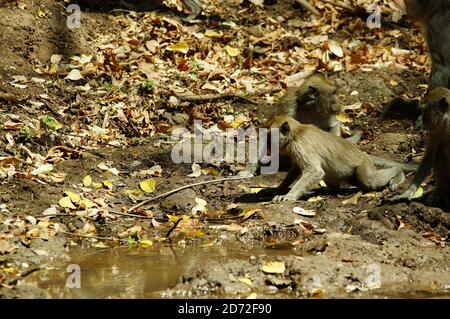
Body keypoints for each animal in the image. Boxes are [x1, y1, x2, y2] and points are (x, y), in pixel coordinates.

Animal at [260, 115, 418, 202]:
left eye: (269, 136)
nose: (266, 145)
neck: (296, 133)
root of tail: (362, 154)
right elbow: (297, 169)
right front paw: (278, 190)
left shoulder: (302, 146)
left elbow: (315, 172)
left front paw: (288, 196)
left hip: (364, 166)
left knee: (368, 181)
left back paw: (398, 173)